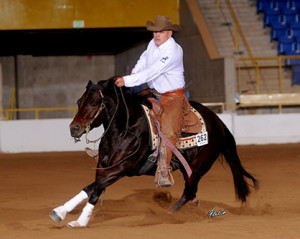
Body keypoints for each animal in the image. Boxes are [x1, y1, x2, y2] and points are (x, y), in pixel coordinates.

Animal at [48, 77, 258, 227]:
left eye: (95, 103)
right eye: (79, 101)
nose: (74, 128)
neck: (125, 129)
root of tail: (218, 122)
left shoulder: (121, 168)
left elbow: (92, 187)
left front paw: (62, 212)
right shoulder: (103, 166)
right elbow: (95, 189)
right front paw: (77, 219)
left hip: (198, 169)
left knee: (189, 191)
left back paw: (168, 215)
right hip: (187, 168)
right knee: (191, 193)